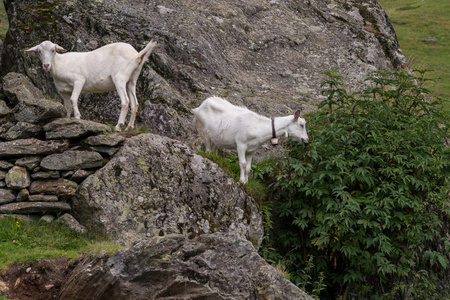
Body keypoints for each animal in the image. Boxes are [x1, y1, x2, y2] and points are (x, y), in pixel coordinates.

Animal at [25, 39, 158, 131]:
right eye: (39, 51)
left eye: (53, 50)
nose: (46, 65)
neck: (60, 64)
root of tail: (137, 55)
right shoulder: (63, 91)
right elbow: (67, 106)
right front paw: (67, 119)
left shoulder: (78, 80)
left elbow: (73, 99)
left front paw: (77, 117)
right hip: (131, 80)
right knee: (135, 103)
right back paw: (129, 127)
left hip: (119, 77)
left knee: (125, 101)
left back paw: (118, 126)